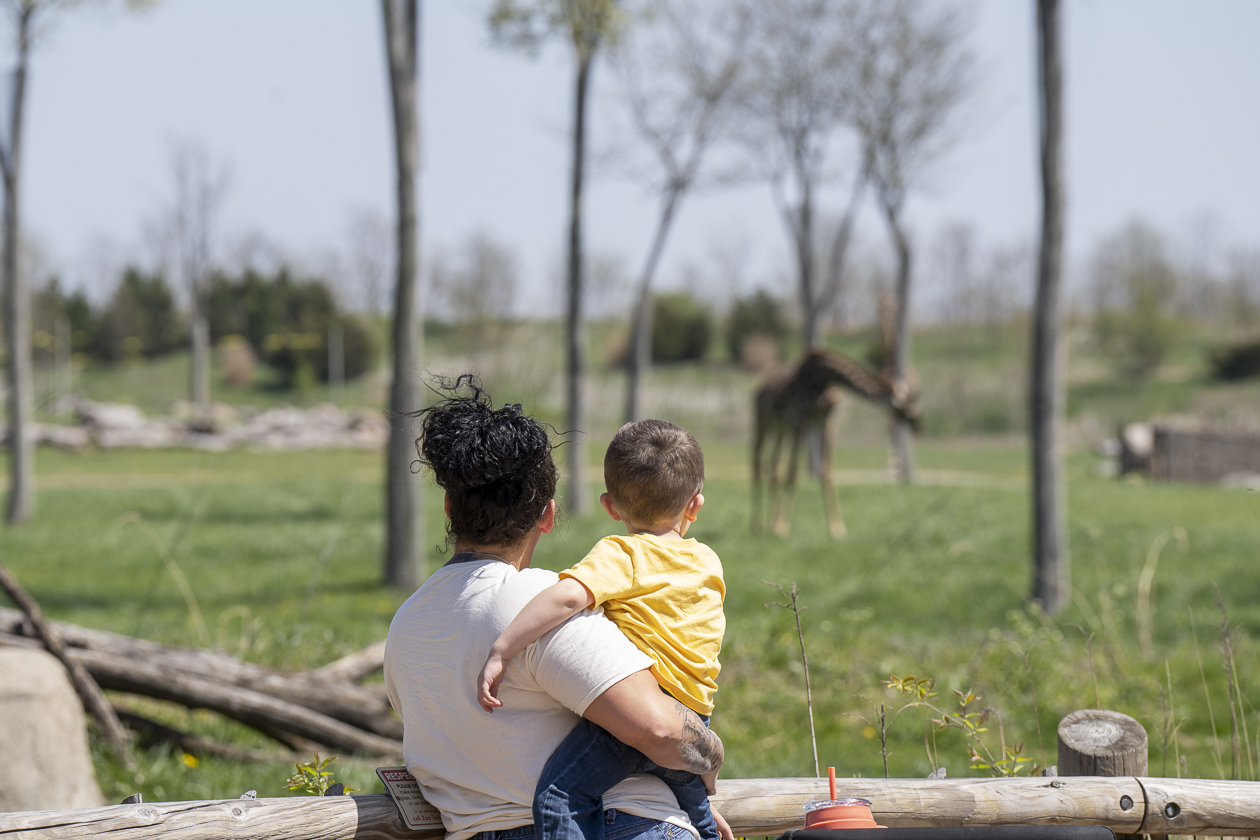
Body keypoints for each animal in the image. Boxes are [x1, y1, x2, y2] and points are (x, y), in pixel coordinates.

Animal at [750, 347, 922, 539]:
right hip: (762, 423)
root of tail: (759, 389)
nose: (918, 426)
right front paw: (780, 527)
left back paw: (767, 523)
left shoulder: (826, 423)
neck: (825, 377)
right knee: (757, 465)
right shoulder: (800, 421)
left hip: (781, 430)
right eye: (907, 405)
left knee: (773, 467)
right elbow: (792, 474)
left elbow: (827, 472)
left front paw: (836, 529)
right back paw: (757, 526)